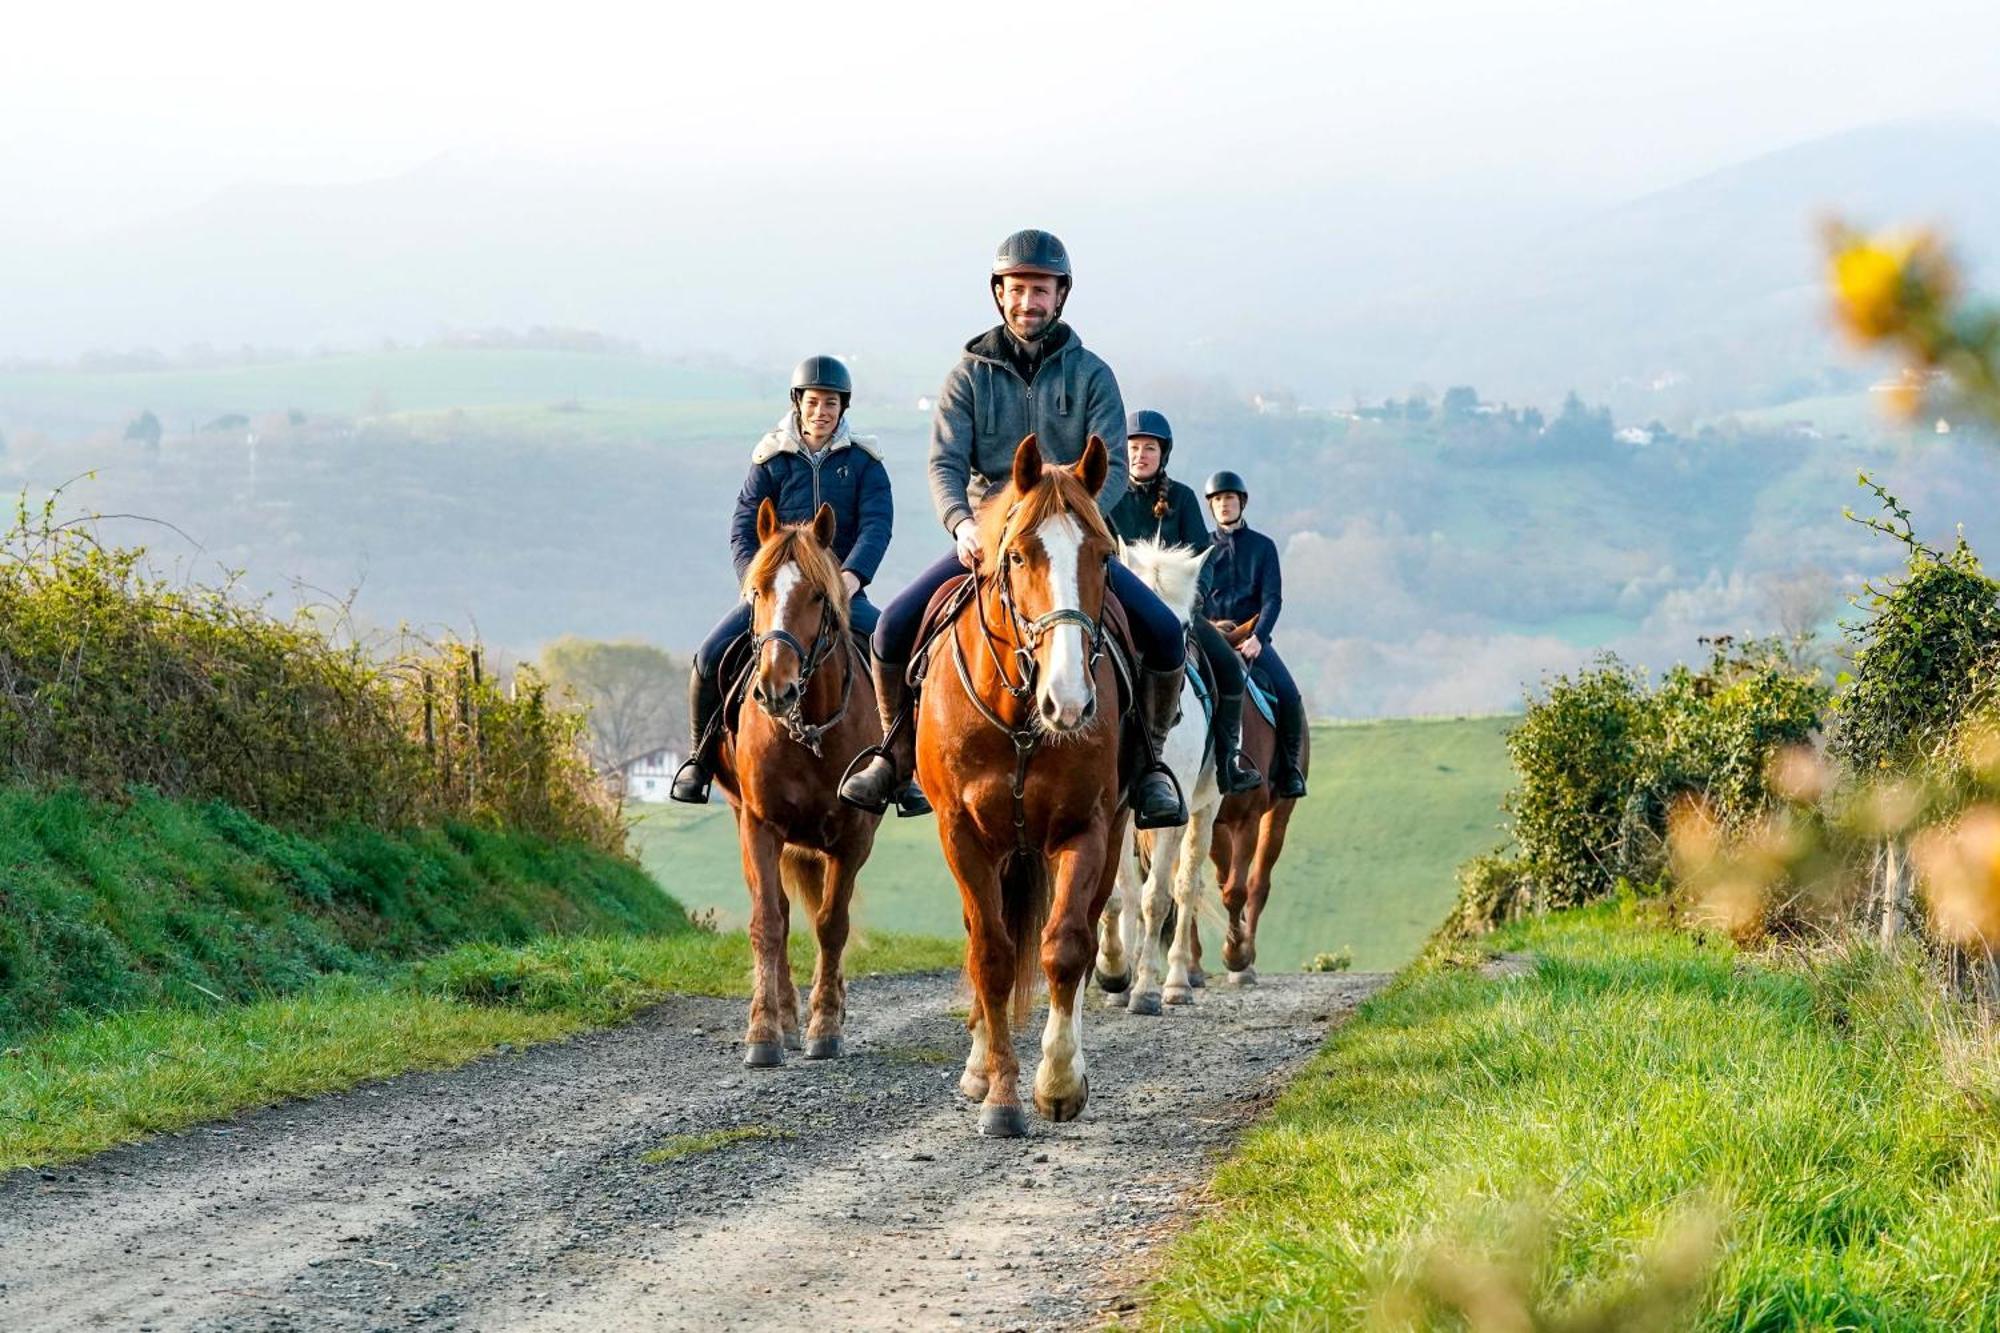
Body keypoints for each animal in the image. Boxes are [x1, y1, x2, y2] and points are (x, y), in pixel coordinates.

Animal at [712, 492, 884, 1064]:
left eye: (816, 595)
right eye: (759, 592)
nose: (774, 689)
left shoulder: (854, 835)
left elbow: (832, 924)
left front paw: (826, 1025)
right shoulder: (760, 825)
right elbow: (770, 921)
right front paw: (766, 1031)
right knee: (780, 915)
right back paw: (786, 1016)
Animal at [916, 434, 1136, 1128]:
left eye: (1103, 556)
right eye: (1016, 555)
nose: (1068, 702)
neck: (1018, 718)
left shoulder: (1085, 828)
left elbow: (1064, 946)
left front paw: (1059, 1083)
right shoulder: (962, 834)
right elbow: (990, 954)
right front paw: (1001, 1097)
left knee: (1083, 937)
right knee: (986, 938)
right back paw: (979, 1067)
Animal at [1096, 536, 1216, 1012]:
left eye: (1182, 628)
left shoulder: (1171, 817)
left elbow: (1155, 899)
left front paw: (1145, 990)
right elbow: (1120, 895)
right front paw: (1114, 972)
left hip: (1207, 809)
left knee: (1186, 887)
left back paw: (1177, 982)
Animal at [1200, 616, 1312, 980]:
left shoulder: (1248, 819)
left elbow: (1237, 890)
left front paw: (1237, 954)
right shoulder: (1215, 822)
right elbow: (1226, 883)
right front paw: (1234, 946)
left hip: (1279, 813)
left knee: (1258, 882)